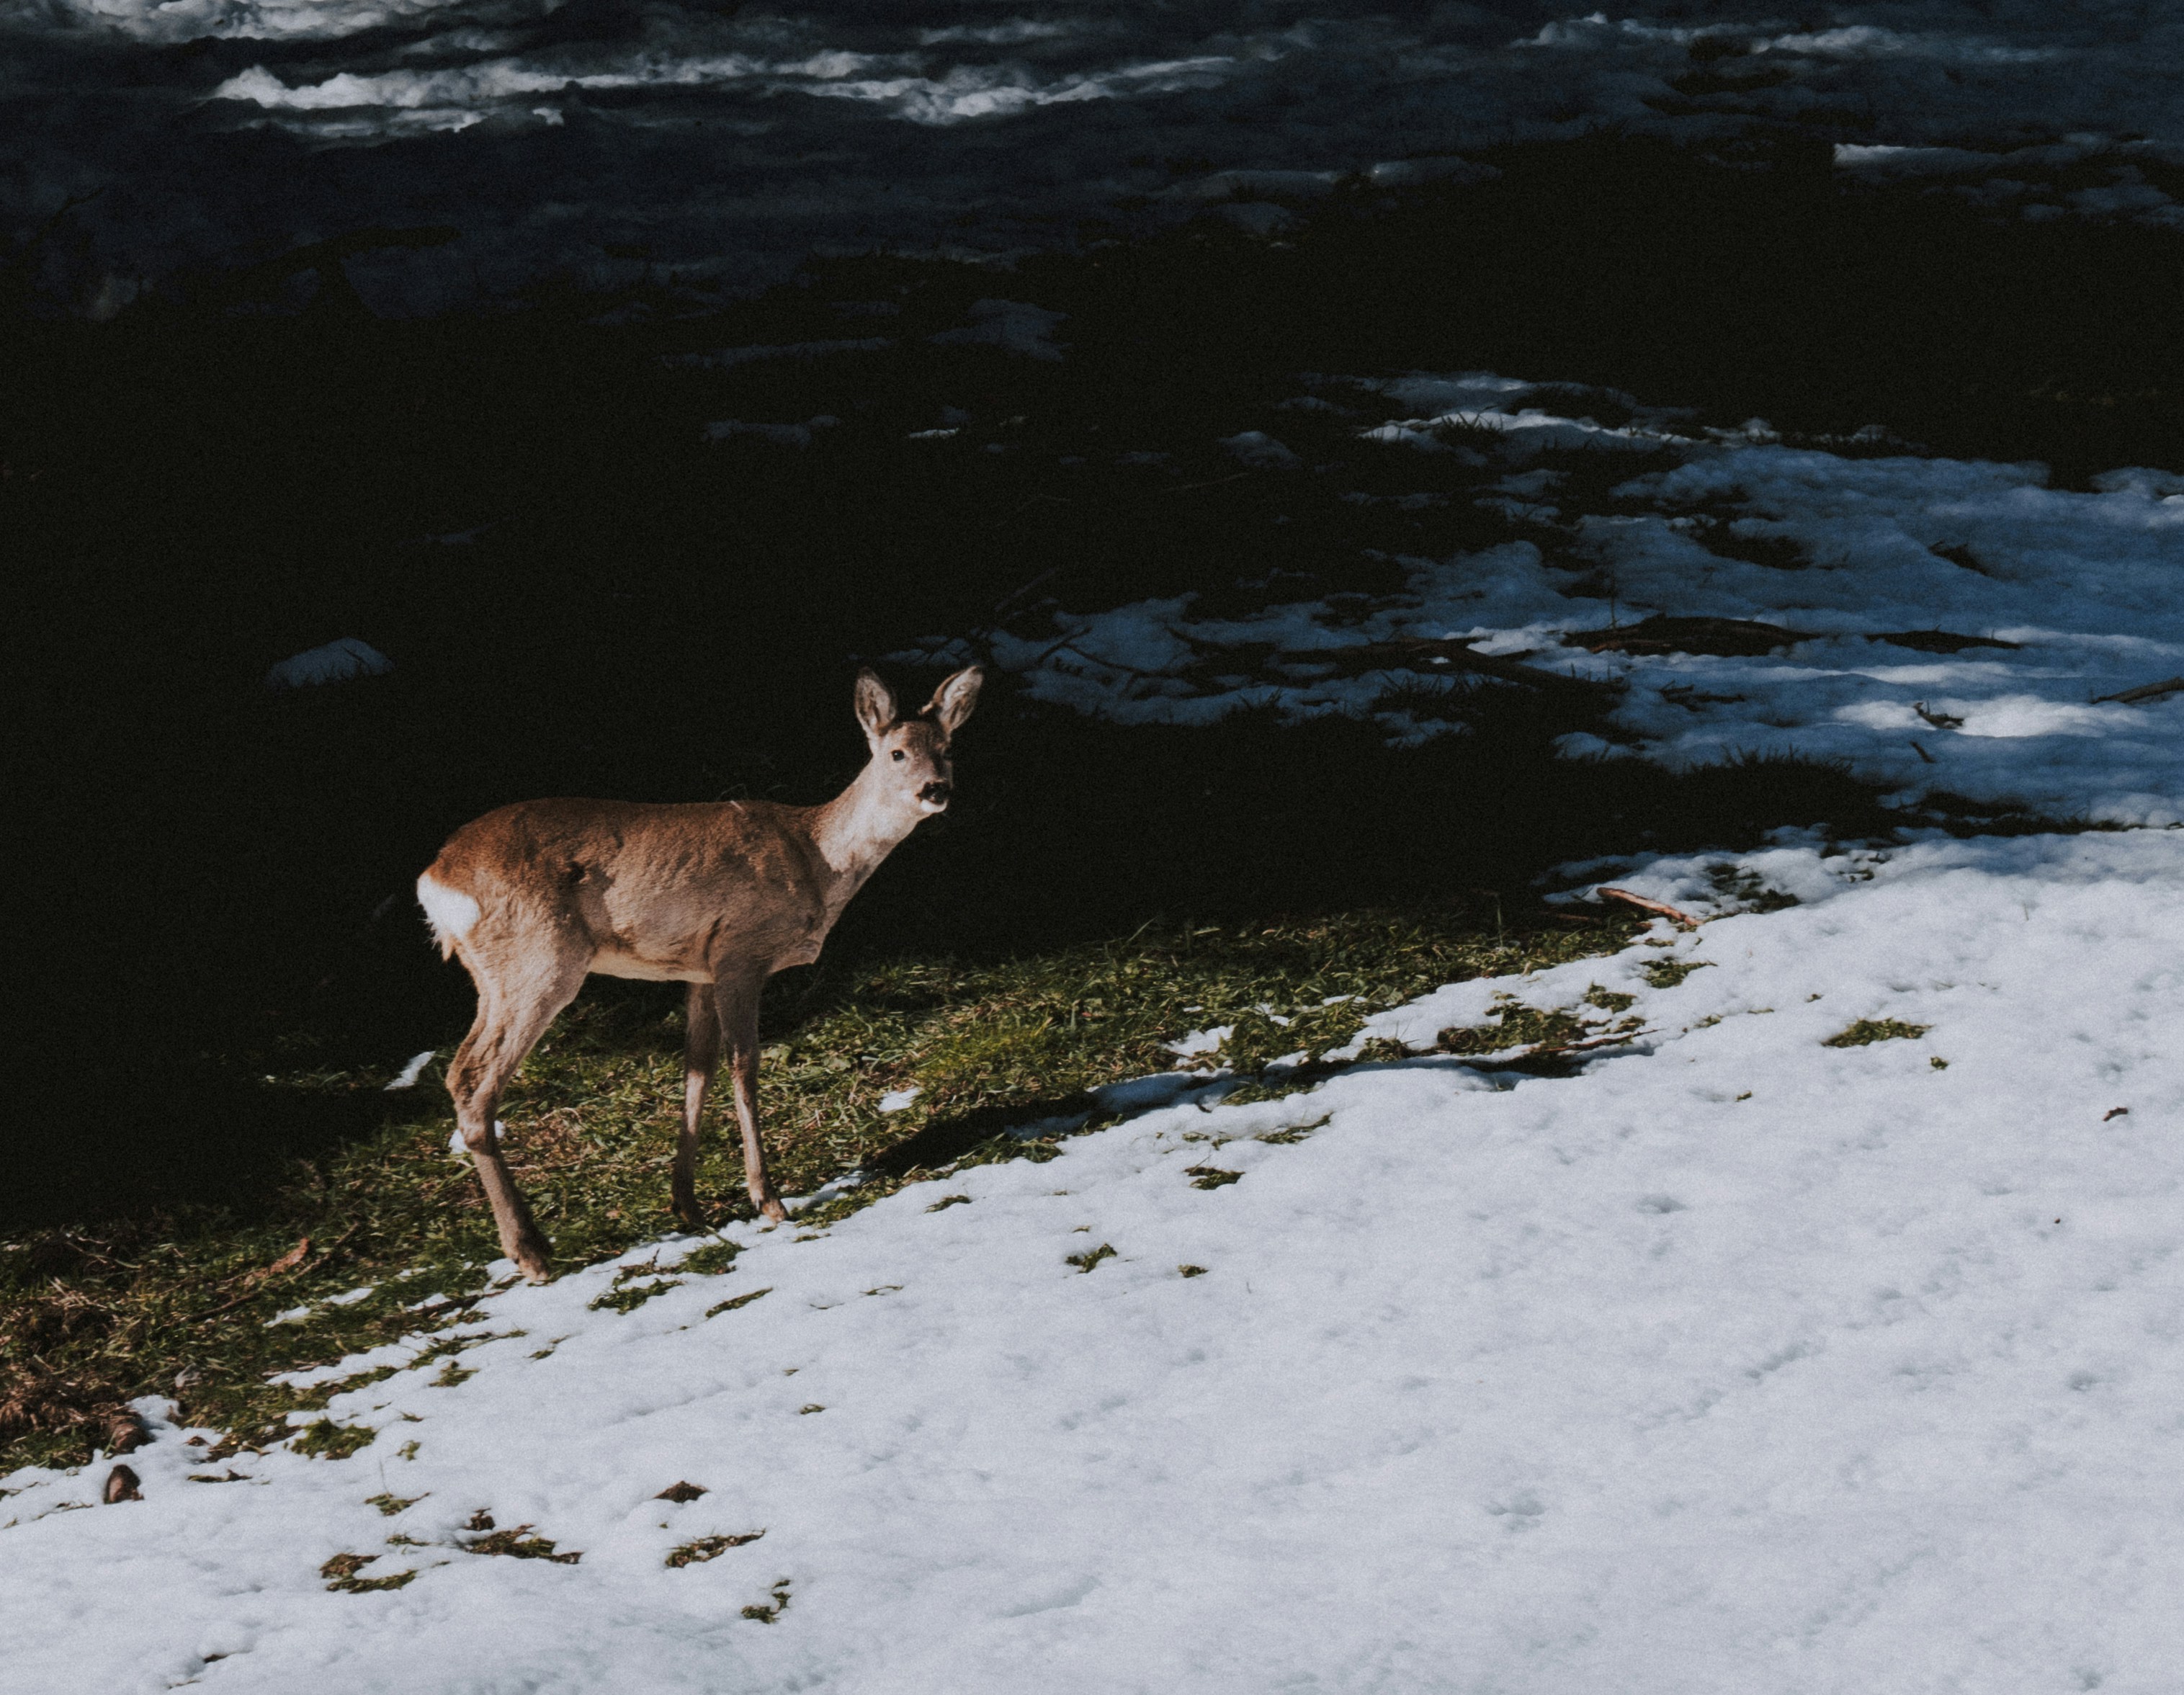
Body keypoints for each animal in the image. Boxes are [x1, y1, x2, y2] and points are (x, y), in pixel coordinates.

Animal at [415, 666, 983, 1283]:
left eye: (948, 748)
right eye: (897, 752)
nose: (936, 789)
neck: (819, 860)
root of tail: (436, 879)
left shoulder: (699, 969)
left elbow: (697, 1067)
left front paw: (686, 1203)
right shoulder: (740, 952)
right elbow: (744, 1065)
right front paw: (768, 1197)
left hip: (495, 973)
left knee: (464, 1073)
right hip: (539, 960)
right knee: (472, 1076)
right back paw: (530, 1251)